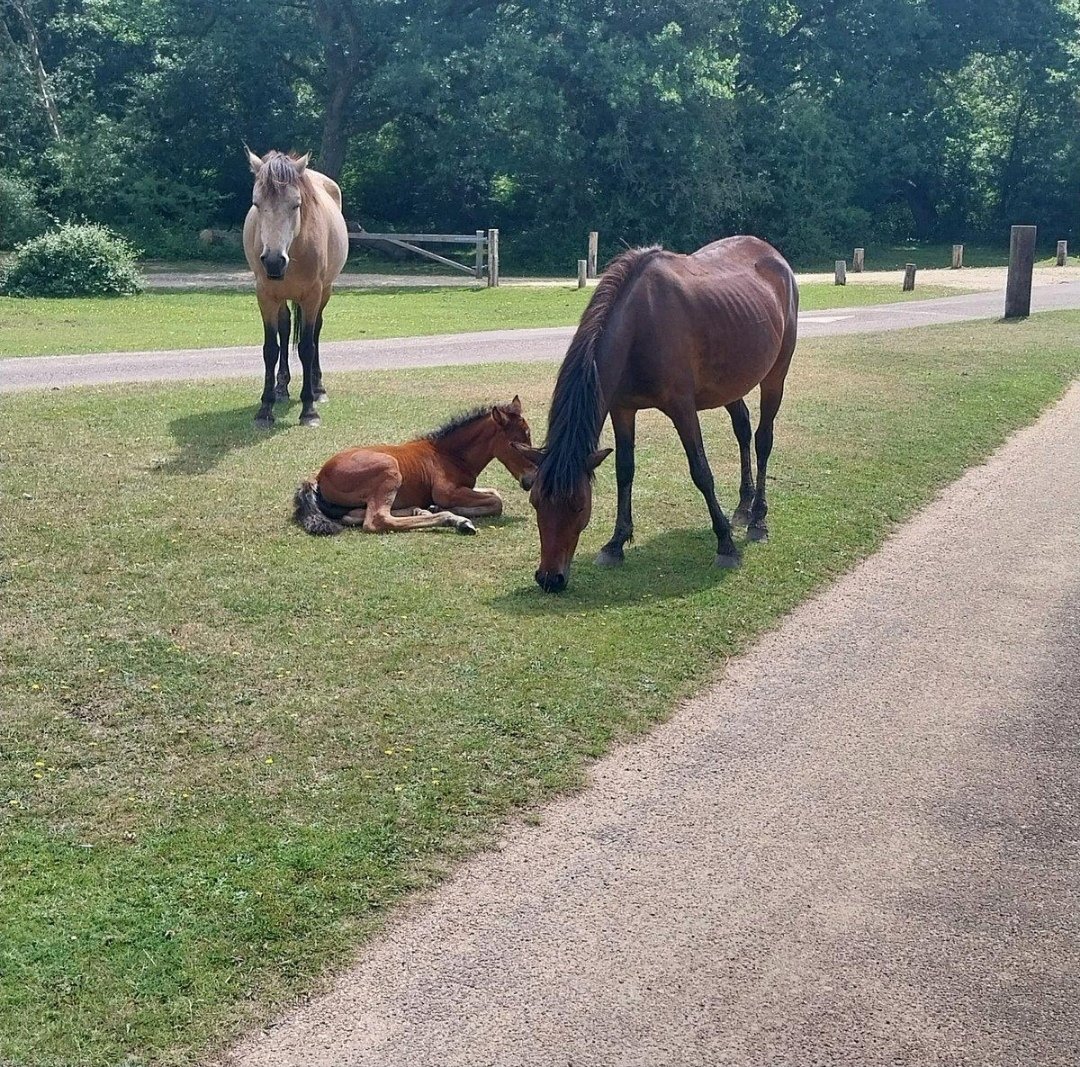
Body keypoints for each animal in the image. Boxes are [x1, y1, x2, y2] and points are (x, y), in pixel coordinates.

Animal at [243, 148, 349, 428]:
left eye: (296, 204)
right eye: (257, 204)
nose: (273, 261)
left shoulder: (312, 296)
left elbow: (307, 347)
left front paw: (309, 409)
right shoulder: (265, 296)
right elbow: (271, 349)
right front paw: (265, 408)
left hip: (325, 292)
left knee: (316, 332)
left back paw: (318, 387)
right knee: (285, 328)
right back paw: (281, 388)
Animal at [293, 397, 537, 535]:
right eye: (516, 444)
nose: (531, 479)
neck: (449, 454)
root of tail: (318, 477)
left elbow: (494, 493)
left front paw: (434, 508)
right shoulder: (446, 492)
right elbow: (497, 502)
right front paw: (448, 510)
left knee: (353, 515)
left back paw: (422, 509)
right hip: (389, 469)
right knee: (377, 520)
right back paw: (454, 520)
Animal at [513, 237, 799, 593]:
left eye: (579, 505)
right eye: (535, 501)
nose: (550, 579)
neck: (640, 324)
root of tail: (773, 255)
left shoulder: (683, 409)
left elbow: (701, 472)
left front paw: (725, 545)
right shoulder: (622, 409)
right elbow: (625, 471)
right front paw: (616, 543)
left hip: (776, 375)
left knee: (762, 440)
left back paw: (758, 518)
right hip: (730, 384)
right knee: (743, 430)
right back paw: (744, 507)